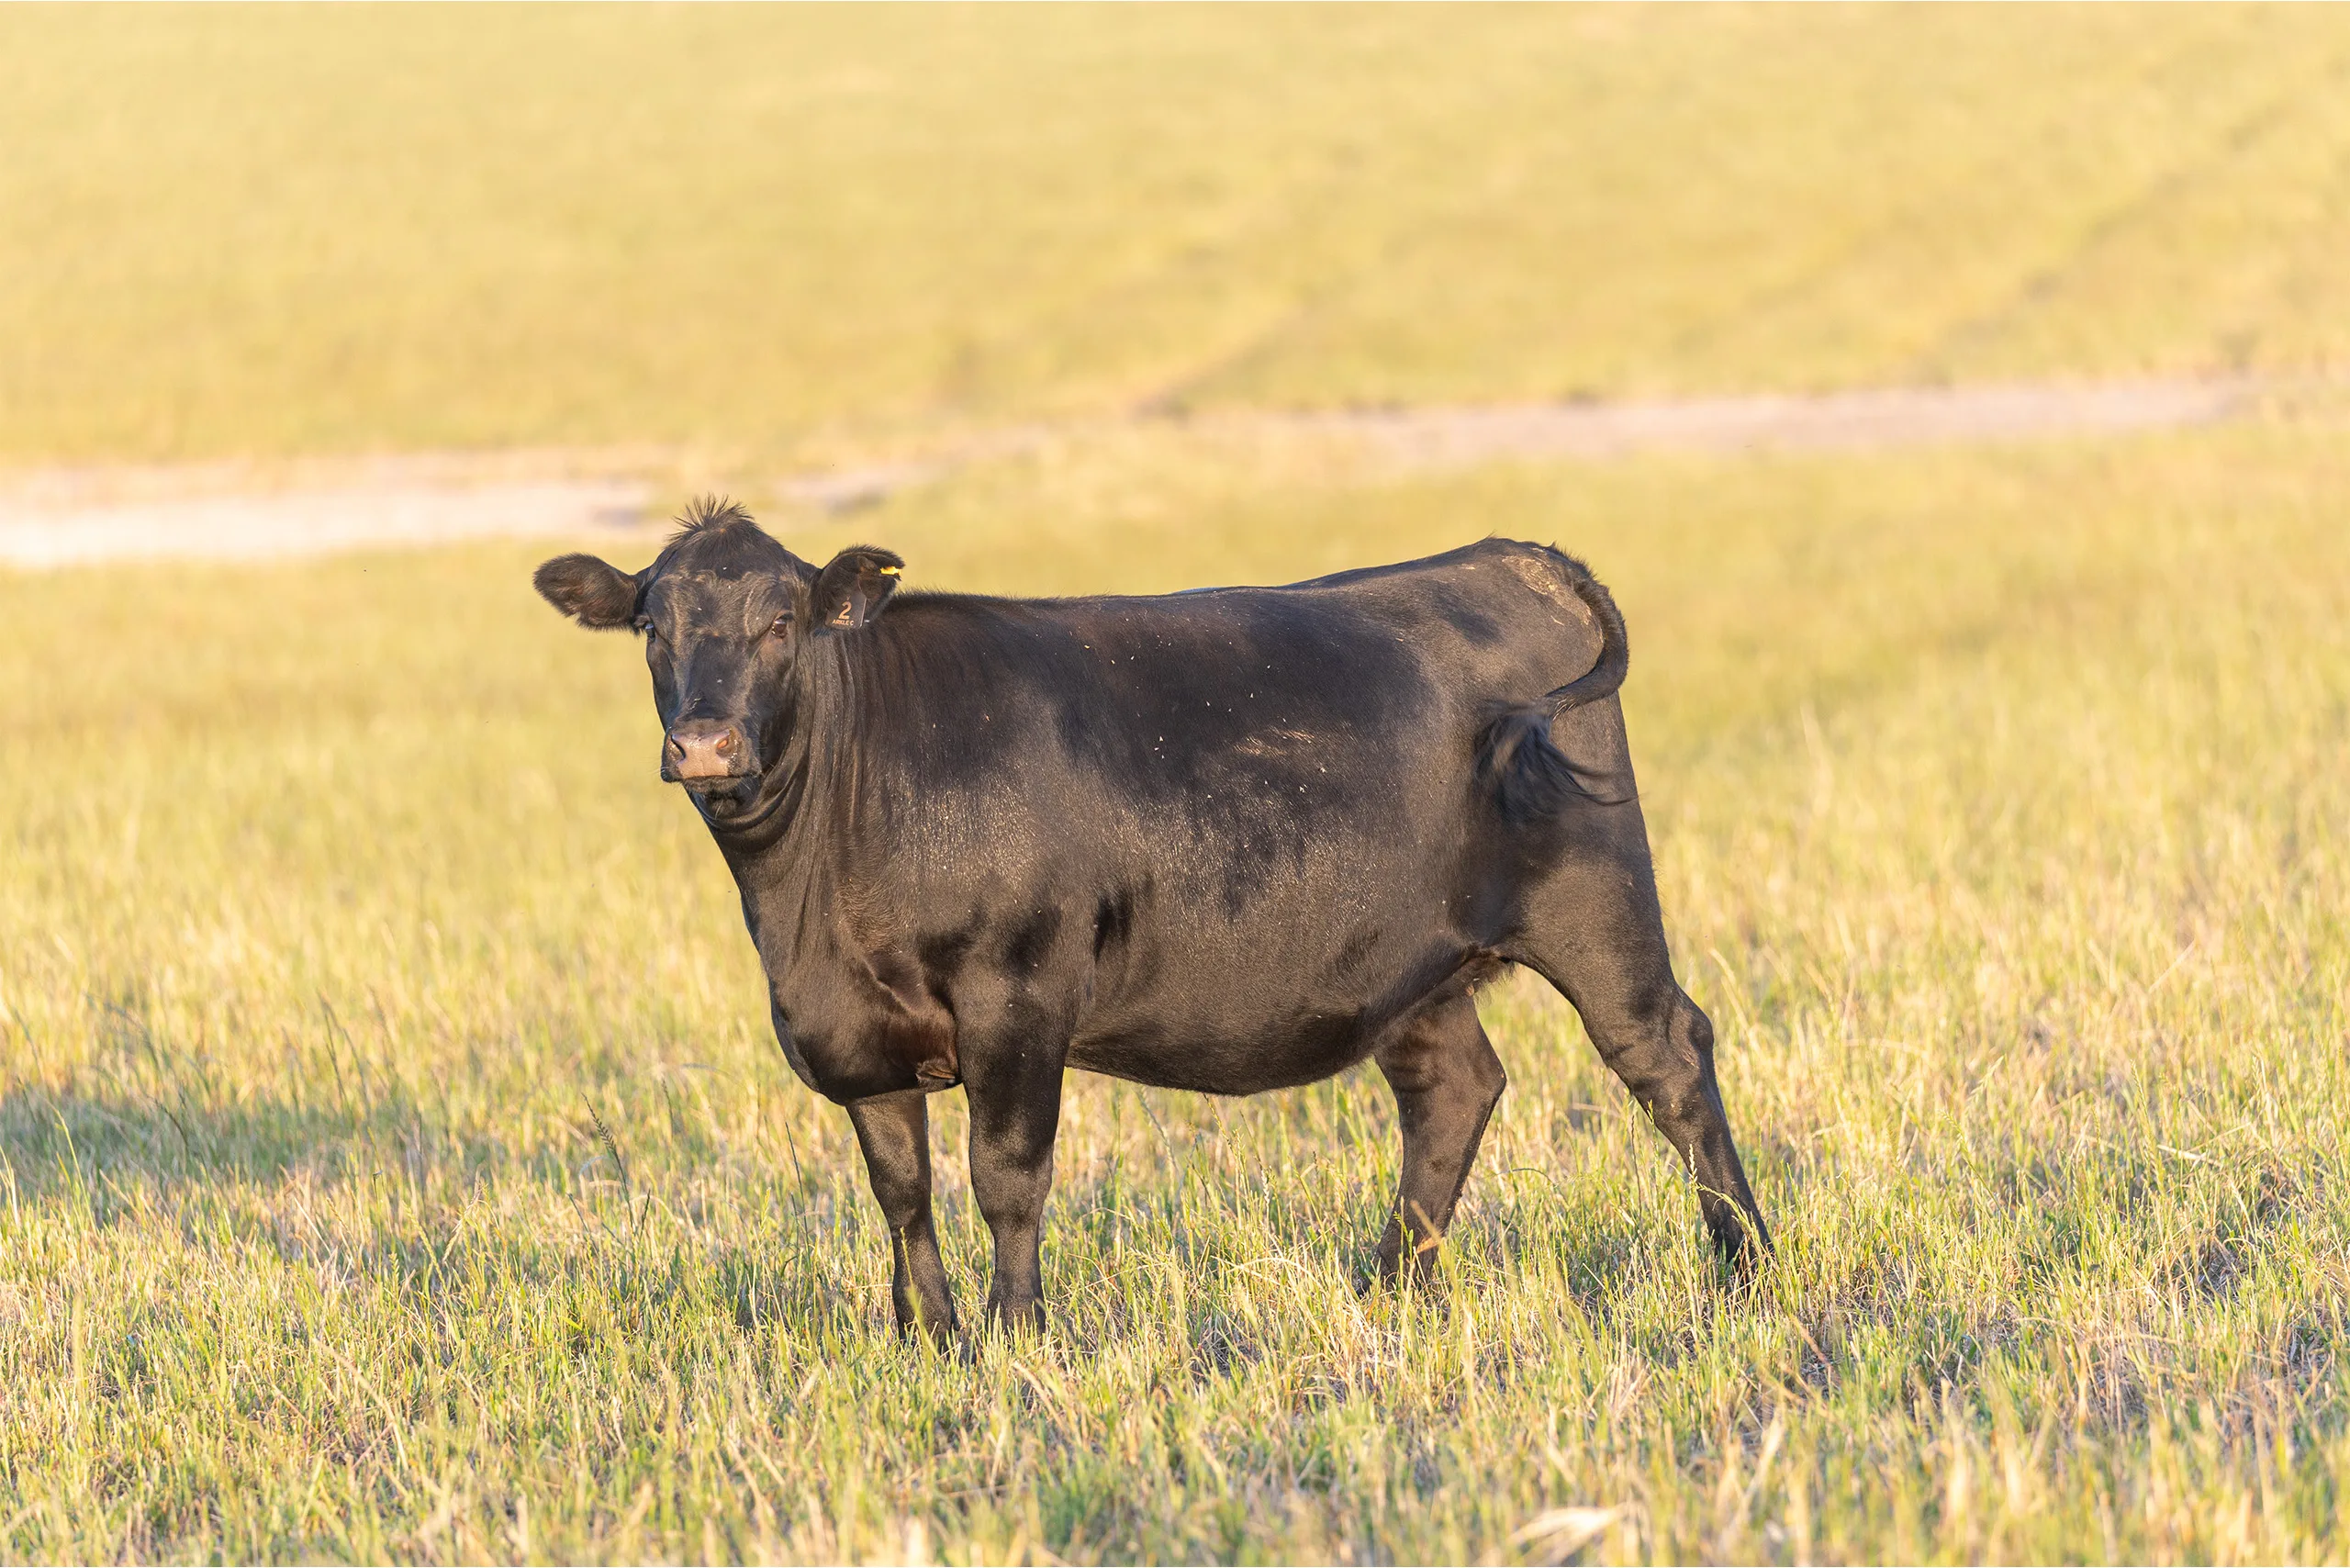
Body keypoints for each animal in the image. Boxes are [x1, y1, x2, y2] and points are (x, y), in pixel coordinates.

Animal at [534, 497, 1769, 1341]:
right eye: (650, 624)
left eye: (783, 621)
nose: (704, 743)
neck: (808, 909)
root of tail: (1508, 555)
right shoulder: (854, 1036)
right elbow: (900, 1190)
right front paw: (928, 1338)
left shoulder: (1018, 998)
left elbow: (1005, 1176)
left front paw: (1018, 1337)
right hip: (1409, 965)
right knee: (1454, 1090)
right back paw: (1389, 1289)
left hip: (1597, 901)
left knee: (1666, 1058)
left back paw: (1747, 1268)